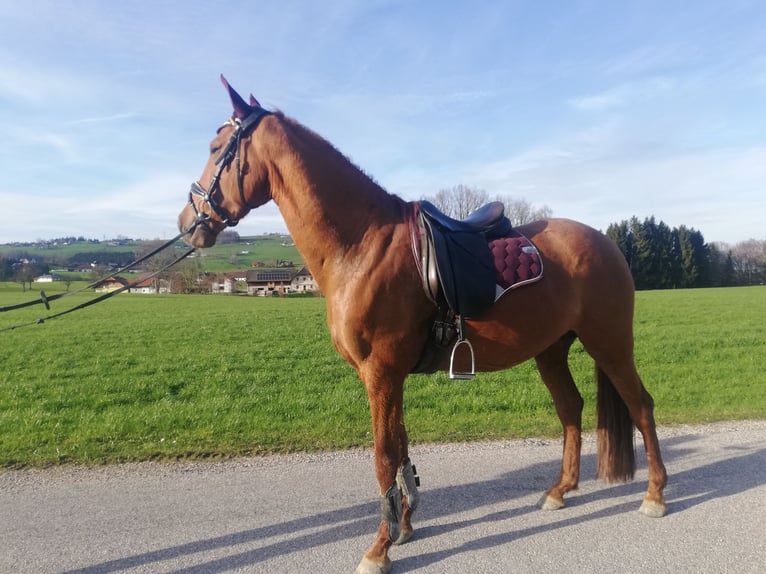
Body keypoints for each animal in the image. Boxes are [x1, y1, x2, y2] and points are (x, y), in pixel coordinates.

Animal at [178, 77, 664, 574]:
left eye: (216, 149)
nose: (188, 221)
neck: (361, 246)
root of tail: (605, 242)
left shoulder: (381, 372)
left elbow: (383, 456)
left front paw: (379, 547)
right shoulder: (389, 376)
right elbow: (401, 447)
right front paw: (406, 525)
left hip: (609, 342)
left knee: (641, 406)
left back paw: (655, 496)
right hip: (551, 350)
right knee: (570, 409)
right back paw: (560, 491)